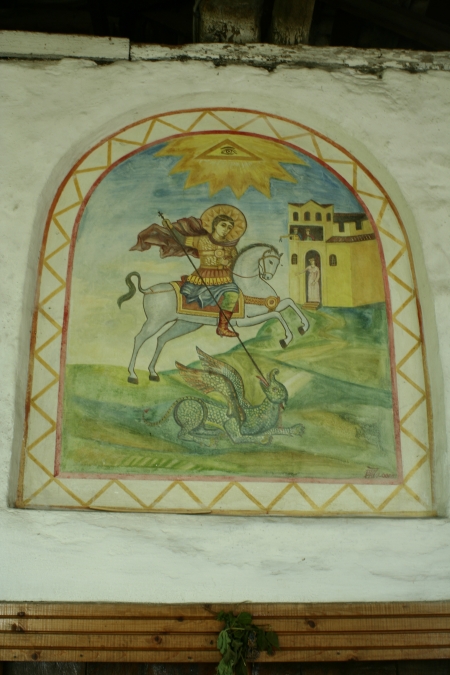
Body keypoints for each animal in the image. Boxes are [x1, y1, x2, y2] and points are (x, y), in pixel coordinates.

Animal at [118, 244, 310, 384]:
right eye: (270, 262)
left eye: (277, 263)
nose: (268, 277)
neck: (249, 286)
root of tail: (150, 290)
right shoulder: (246, 320)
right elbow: (277, 315)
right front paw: (286, 338)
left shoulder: (268, 306)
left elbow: (289, 303)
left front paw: (303, 327)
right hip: (155, 321)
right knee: (139, 339)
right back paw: (132, 374)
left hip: (185, 324)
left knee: (161, 339)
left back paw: (152, 373)